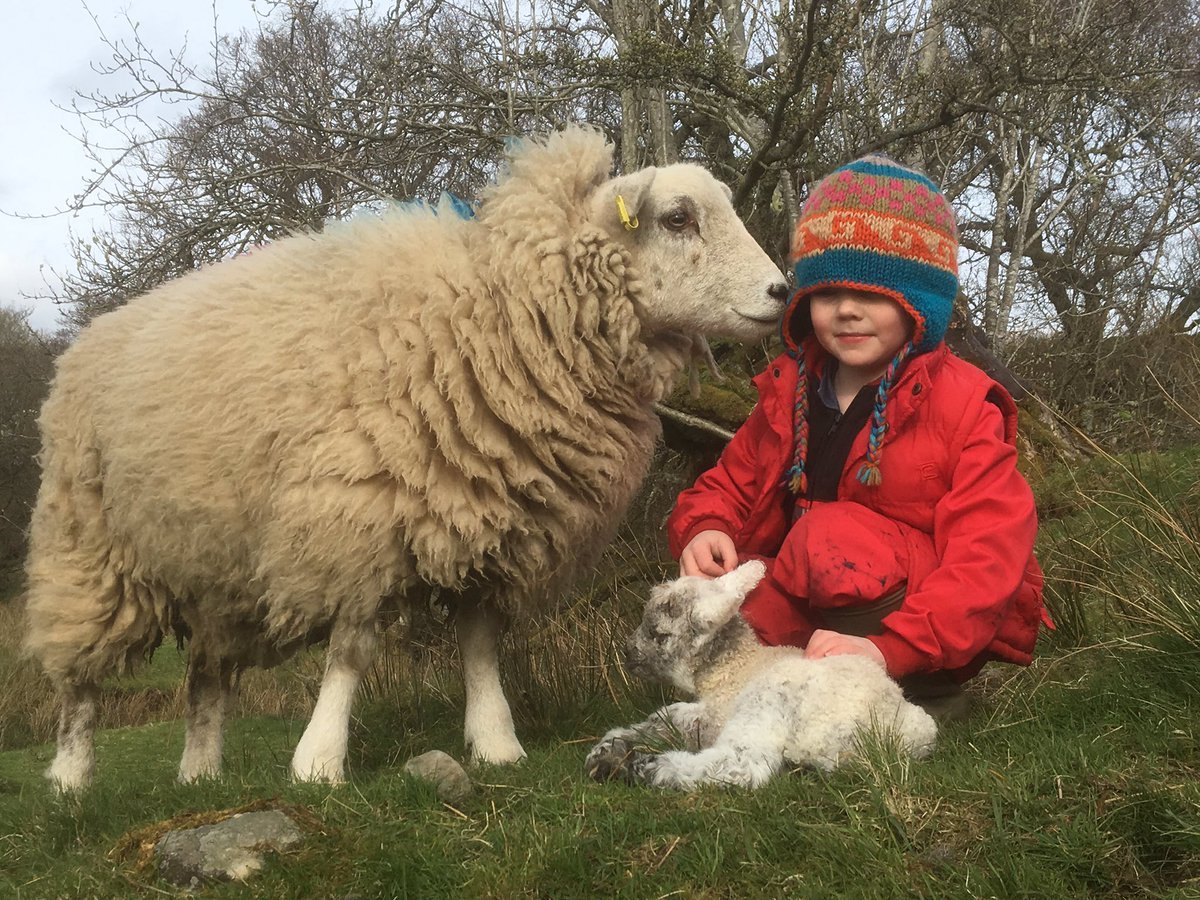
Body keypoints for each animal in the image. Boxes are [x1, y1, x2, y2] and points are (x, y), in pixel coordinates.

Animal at [23, 123, 792, 792]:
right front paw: (319, 762)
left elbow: (480, 648)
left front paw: (497, 743)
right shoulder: (356, 518)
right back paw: (69, 779)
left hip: (217, 567)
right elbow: (350, 652)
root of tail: (87, 339)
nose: (781, 291)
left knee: (208, 677)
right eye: (678, 218)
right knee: (80, 681)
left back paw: (200, 773)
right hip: (90, 545)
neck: (505, 310)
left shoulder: (497, 521)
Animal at [583, 564, 936, 787]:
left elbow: (673, 718)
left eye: (659, 634)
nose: (627, 653)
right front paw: (609, 745)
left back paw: (641, 767)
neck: (737, 666)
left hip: (769, 701)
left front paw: (610, 752)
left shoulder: (720, 713)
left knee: (741, 767)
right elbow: (666, 717)